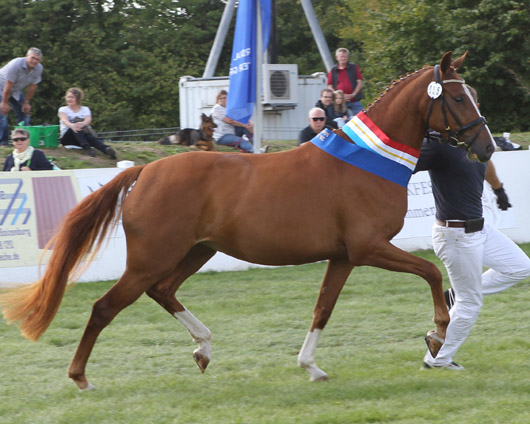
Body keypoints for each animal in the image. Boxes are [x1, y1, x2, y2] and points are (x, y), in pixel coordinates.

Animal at [2, 51, 492, 390]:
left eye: (473, 95)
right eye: (455, 97)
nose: (485, 147)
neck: (370, 160)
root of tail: (146, 170)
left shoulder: (344, 257)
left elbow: (323, 308)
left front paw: (310, 367)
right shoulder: (369, 247)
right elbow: (431, 271)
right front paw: (438, 334)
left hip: (196, 251)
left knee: (162, 291)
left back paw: (203, 348)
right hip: (151, 258)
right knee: (106, 306)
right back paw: (81, 377)